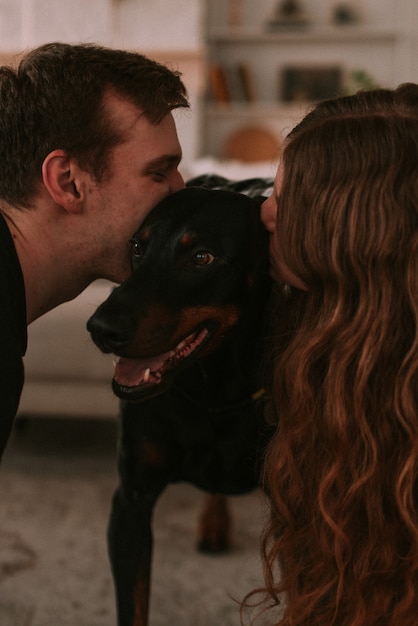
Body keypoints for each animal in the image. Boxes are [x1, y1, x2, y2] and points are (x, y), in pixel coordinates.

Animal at [86, 185, 286, 624]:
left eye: (202, 258)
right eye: (137, 247)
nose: (100, 329)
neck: (215, 389)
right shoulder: (132, 500)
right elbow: (133, 606)